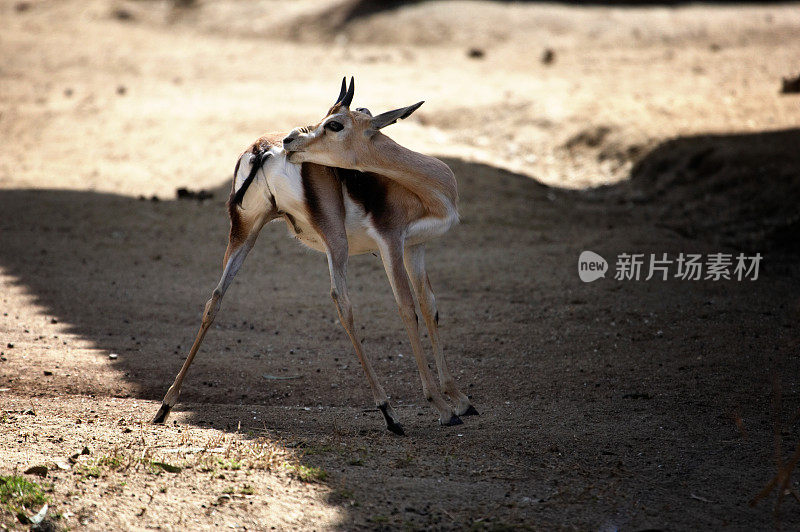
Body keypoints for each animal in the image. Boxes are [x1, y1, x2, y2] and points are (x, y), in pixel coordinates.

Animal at [154, 80, 476, 436]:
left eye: (334, 123)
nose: (291, 140)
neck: (430, 190)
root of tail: (263, 150)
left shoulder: (416, 247)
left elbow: (429, 306)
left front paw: (462, 400)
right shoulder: (391, 242)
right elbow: (407, 309)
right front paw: (443, 408)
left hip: (245, 232)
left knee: (215, 298)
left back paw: (165, 406)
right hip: (335, 241)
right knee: (342, 302)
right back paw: (389, 413)